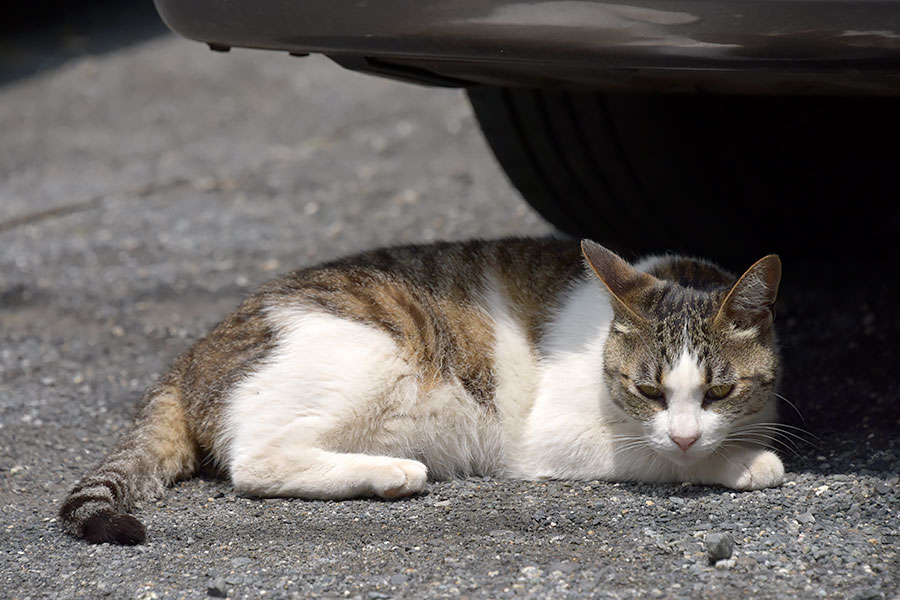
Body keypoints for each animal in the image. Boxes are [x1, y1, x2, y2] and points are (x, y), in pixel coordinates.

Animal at [59, 238, 784, 544]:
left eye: (719, 391)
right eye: (647, 390)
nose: (687, 433)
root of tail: (194, 349)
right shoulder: (549, 437)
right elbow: (656, 455)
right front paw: (741, 463)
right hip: (372, 351)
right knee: (257, 462)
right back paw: (391, 472)